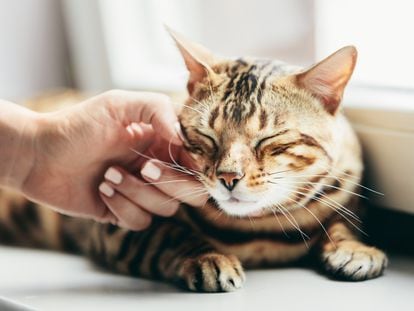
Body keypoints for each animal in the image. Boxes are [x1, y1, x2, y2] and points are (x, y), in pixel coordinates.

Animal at [0, 28, 388, 292]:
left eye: (268, 140)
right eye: (206, 137)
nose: (228, 177)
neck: (259, 230)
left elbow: (343, 221)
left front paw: (355, 248)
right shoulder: (116, 227)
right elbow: (169, 235)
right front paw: (208, 257)